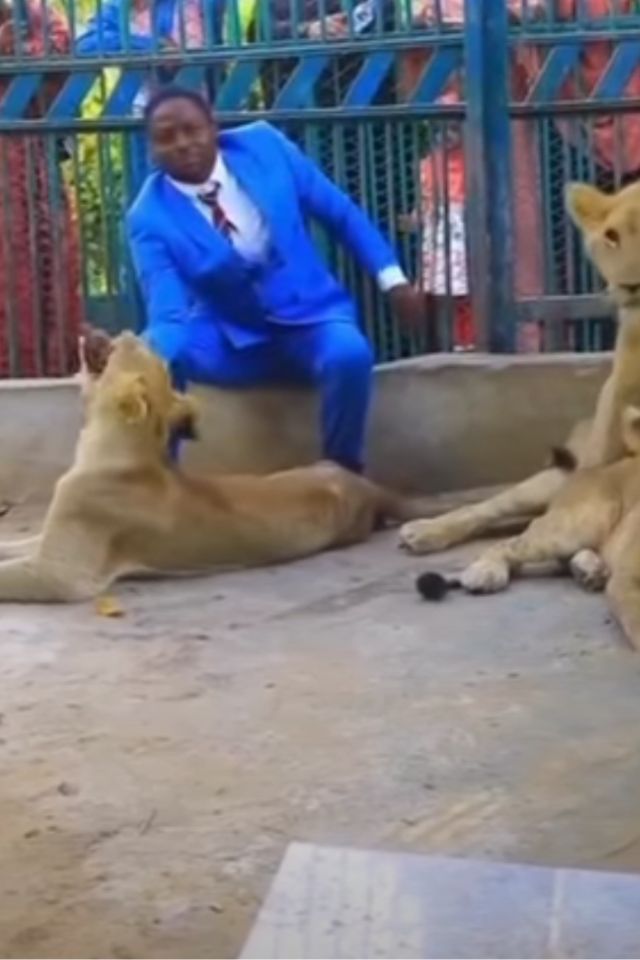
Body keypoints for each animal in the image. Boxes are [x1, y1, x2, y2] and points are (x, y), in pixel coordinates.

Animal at [1, 330, 430, 600]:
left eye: (130, 346)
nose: (122, 329)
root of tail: (364, 484)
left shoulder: (63, 574)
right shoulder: (49, 539)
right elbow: (15, 544)